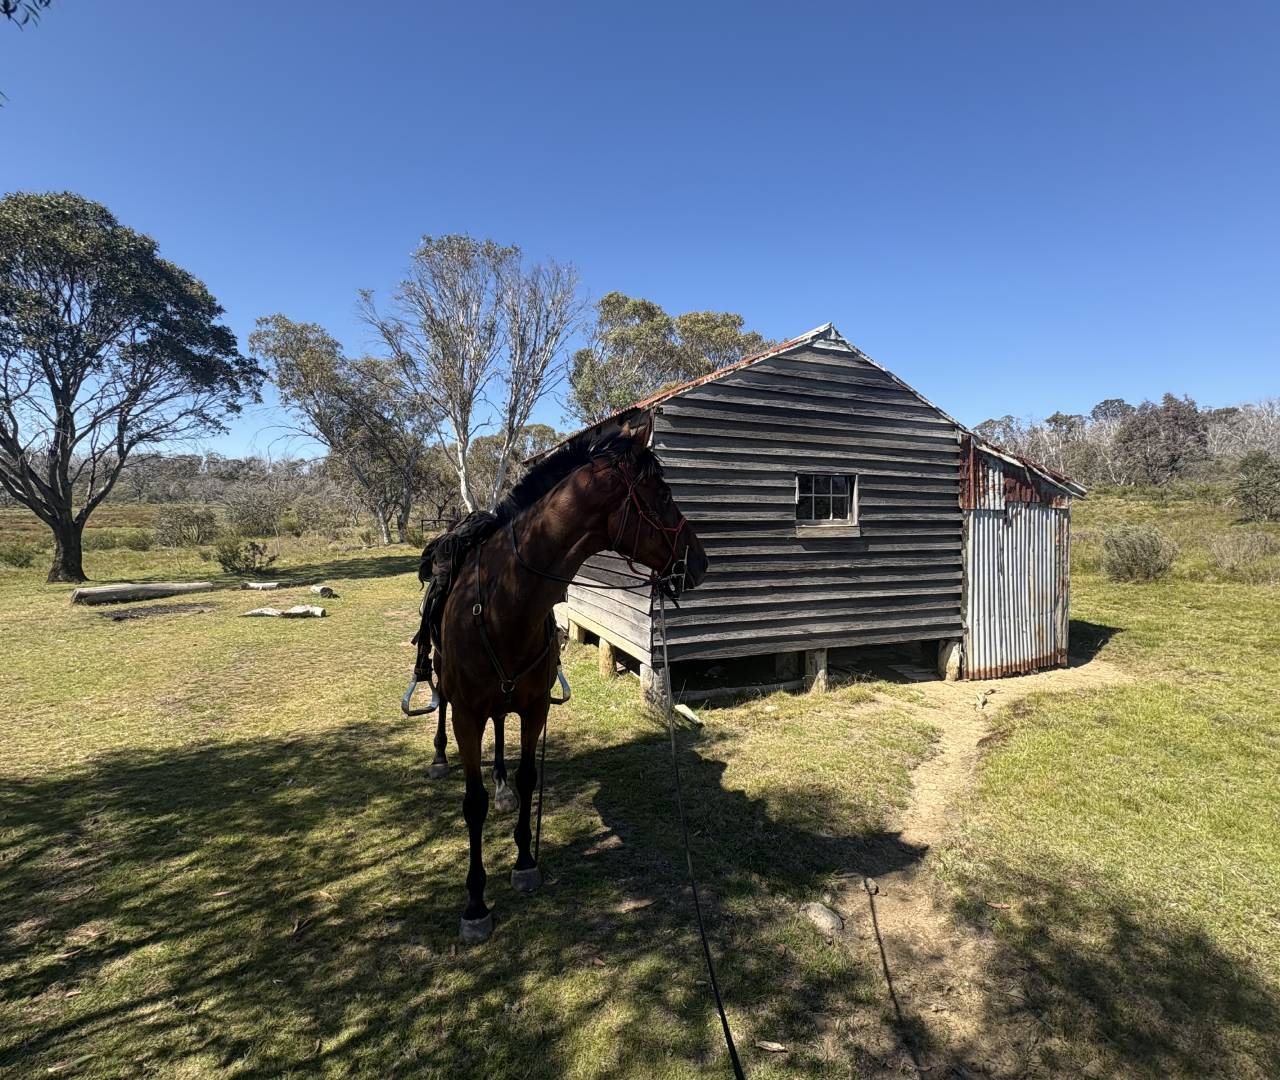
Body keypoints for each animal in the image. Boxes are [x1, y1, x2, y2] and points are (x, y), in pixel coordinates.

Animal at [412, 412, 708, 943]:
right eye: (663, 495)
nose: (699, 561)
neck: (505, 604)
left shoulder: (533, 708)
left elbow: (529, 778)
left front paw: (525, 861)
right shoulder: (469, 717)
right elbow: (472, 803)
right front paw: (475, 904)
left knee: (501, 731)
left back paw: (502, 786)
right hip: (448, 687)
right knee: (441, 705)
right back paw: (440, 758)